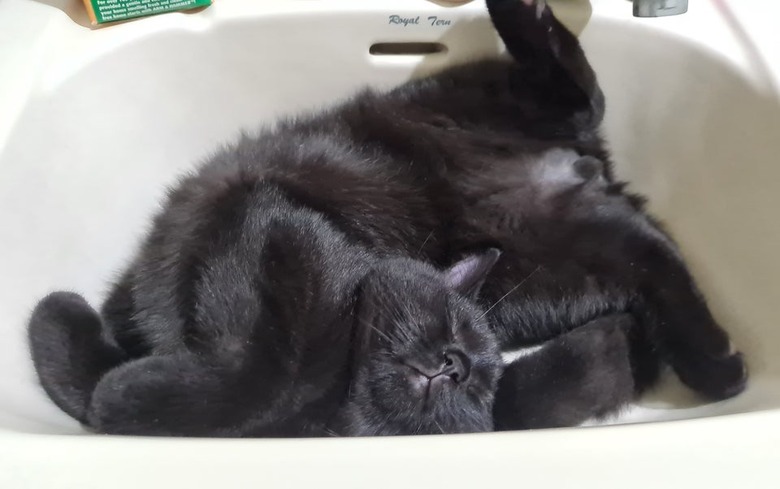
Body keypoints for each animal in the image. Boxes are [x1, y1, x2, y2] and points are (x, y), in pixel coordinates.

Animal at [27, 0, 748, 434]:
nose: (453, 363)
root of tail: (581, 165)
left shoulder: (259, 222)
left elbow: (258, 374)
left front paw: (124, 393)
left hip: (527, 144)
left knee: (577, 85)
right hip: (562, 254)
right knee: (653, 255)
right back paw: (715, 363)